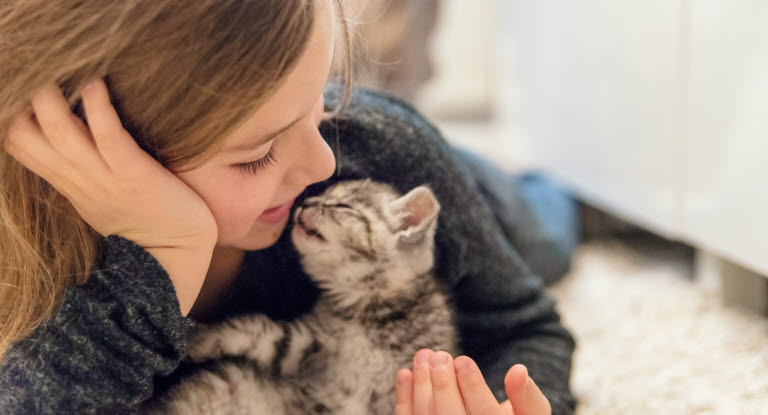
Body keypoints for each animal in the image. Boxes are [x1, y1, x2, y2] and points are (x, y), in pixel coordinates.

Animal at [147, 180, 460, 415]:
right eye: (322, 195)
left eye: (342, 206)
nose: (306, 203)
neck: (365, 309)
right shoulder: (311, 344)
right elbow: (256, 329)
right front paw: (199, 339)